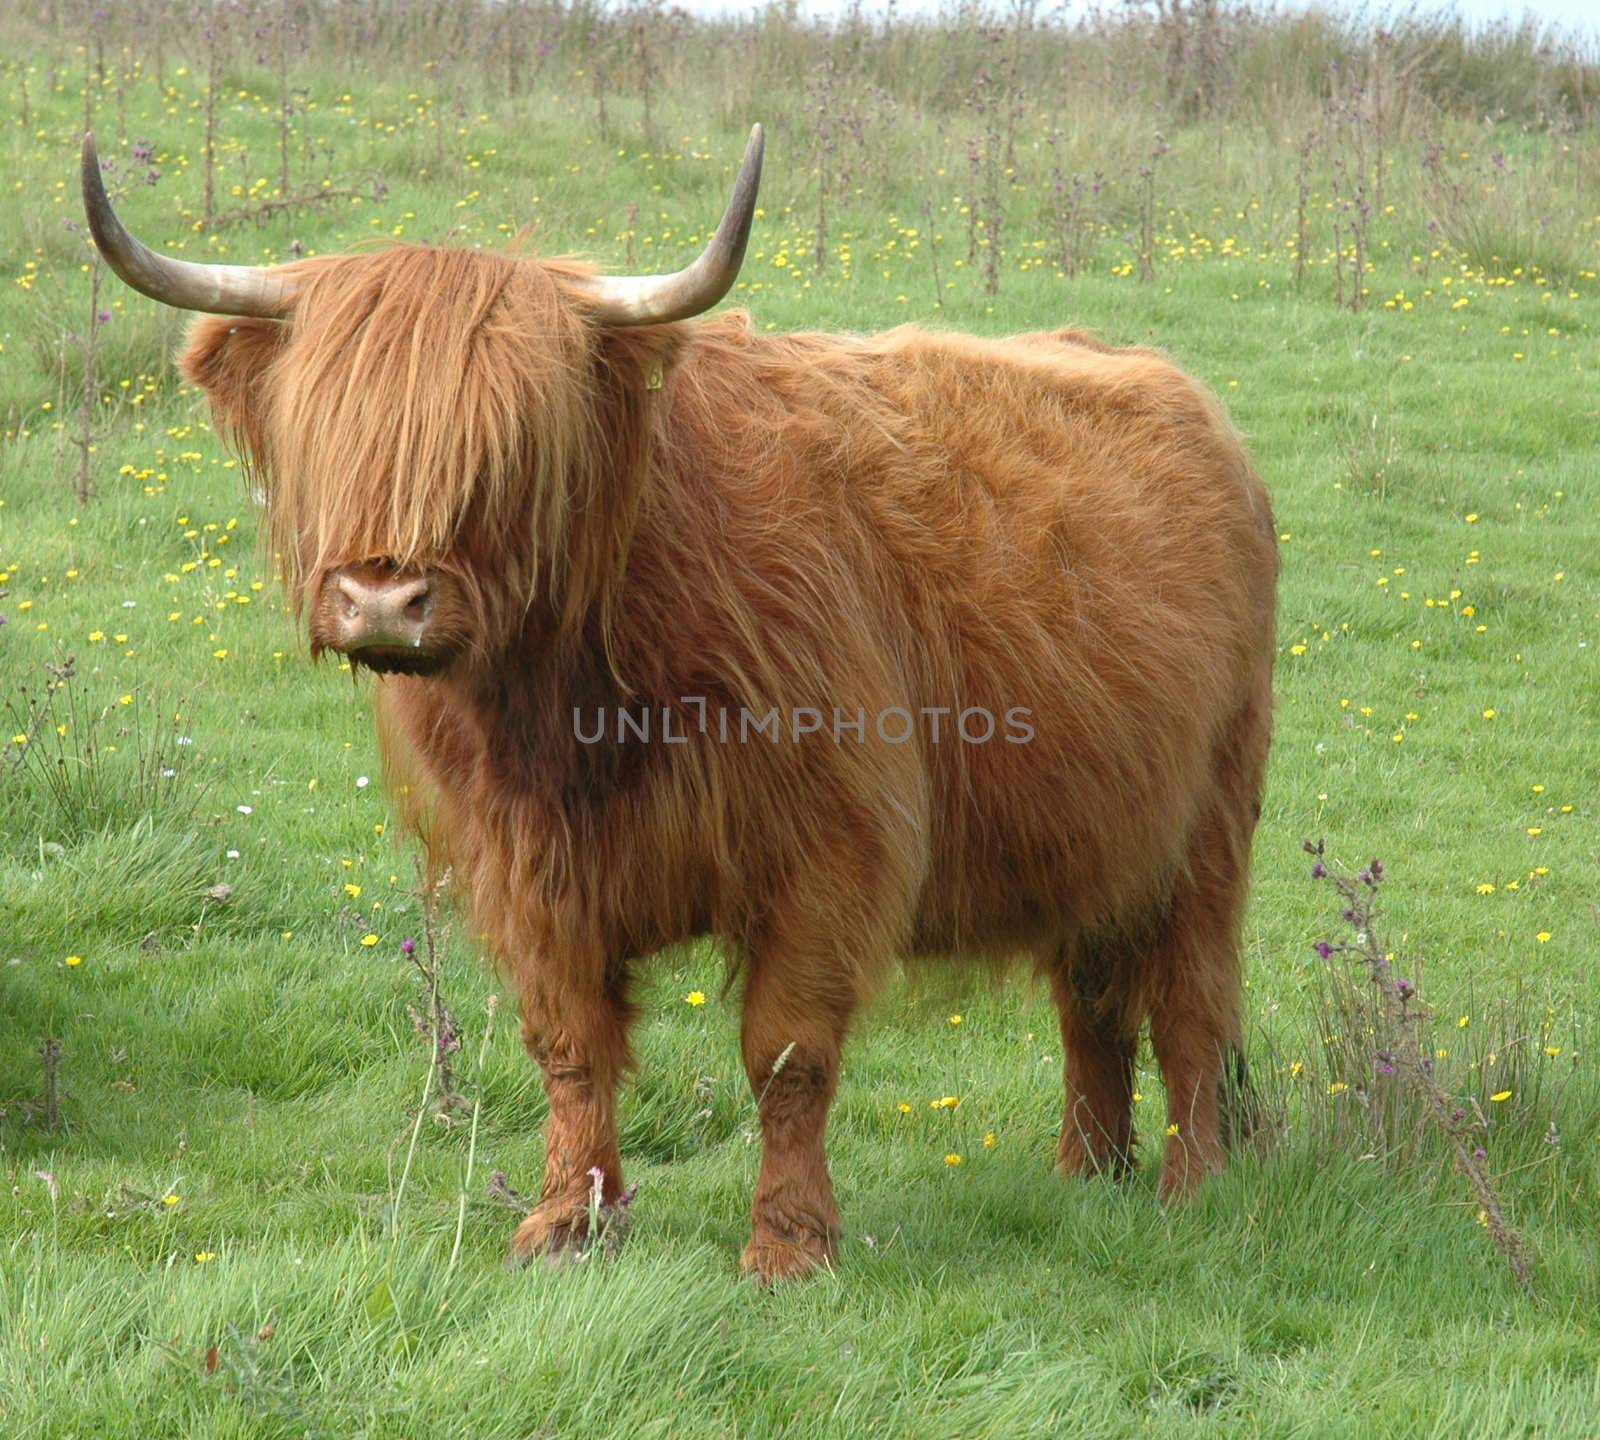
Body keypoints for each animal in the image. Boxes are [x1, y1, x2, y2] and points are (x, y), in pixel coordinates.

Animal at [84, 126, 1273, 1280]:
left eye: (513, 442)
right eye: (324, 429)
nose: (383, 599)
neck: (575, 709)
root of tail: (1180, 393)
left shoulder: (826, 850)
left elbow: (787, 1056)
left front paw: (788, 1246)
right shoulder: (529, 868)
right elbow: (568, 1046)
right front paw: (568, 1223)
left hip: (1211, 820)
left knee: (1190, 1004)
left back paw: (1191, 1188)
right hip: (1100, 830)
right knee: (1095, 1000)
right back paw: (1089, 1174)